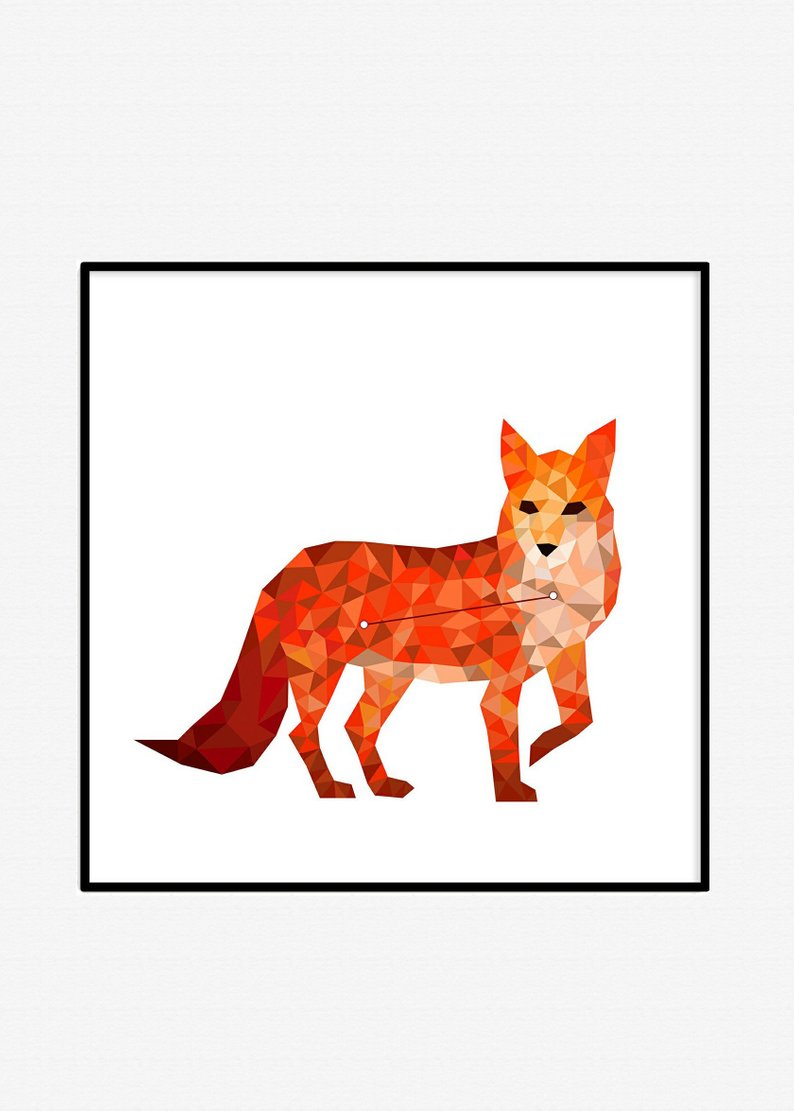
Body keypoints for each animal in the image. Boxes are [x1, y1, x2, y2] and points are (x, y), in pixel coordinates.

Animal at [138, 419, 620, 802]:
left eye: (574, 508)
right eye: (528, 507)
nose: (546, 548)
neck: (556, 594)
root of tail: (288, 566)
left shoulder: (566, 658)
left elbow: (581, 718)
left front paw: (539, 748)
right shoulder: (500, 688)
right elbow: (506, 753)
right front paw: (515, 792)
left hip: (388, 679)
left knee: (356, 729)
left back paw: (381, 787)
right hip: (321, 674)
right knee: (303, 733)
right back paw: (332, 791)